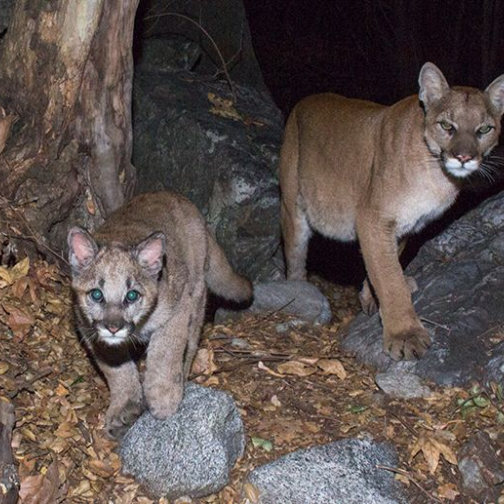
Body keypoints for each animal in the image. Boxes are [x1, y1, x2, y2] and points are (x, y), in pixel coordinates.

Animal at [68, 191, 252, 440]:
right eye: (96, 294)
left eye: (132, 295)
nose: (113, 327)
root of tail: (177, 197)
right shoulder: (86, 326)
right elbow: (116, 369)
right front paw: (124, 409)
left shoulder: (179, 306)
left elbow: (166, 352)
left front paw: (163, 398)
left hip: (197, 294)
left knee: (191, 343)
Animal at [280, 63, 504, 360]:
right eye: (447, 126)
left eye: (484, 129)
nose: (464, 157)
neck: (437, 175)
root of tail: (304, 101)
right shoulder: (372, 218)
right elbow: (389, 278)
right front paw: (405, 335)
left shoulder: (405, 226)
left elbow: (383, 265)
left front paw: (369, 297)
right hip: (292, 205)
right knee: (295, 258)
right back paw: (299, 294)